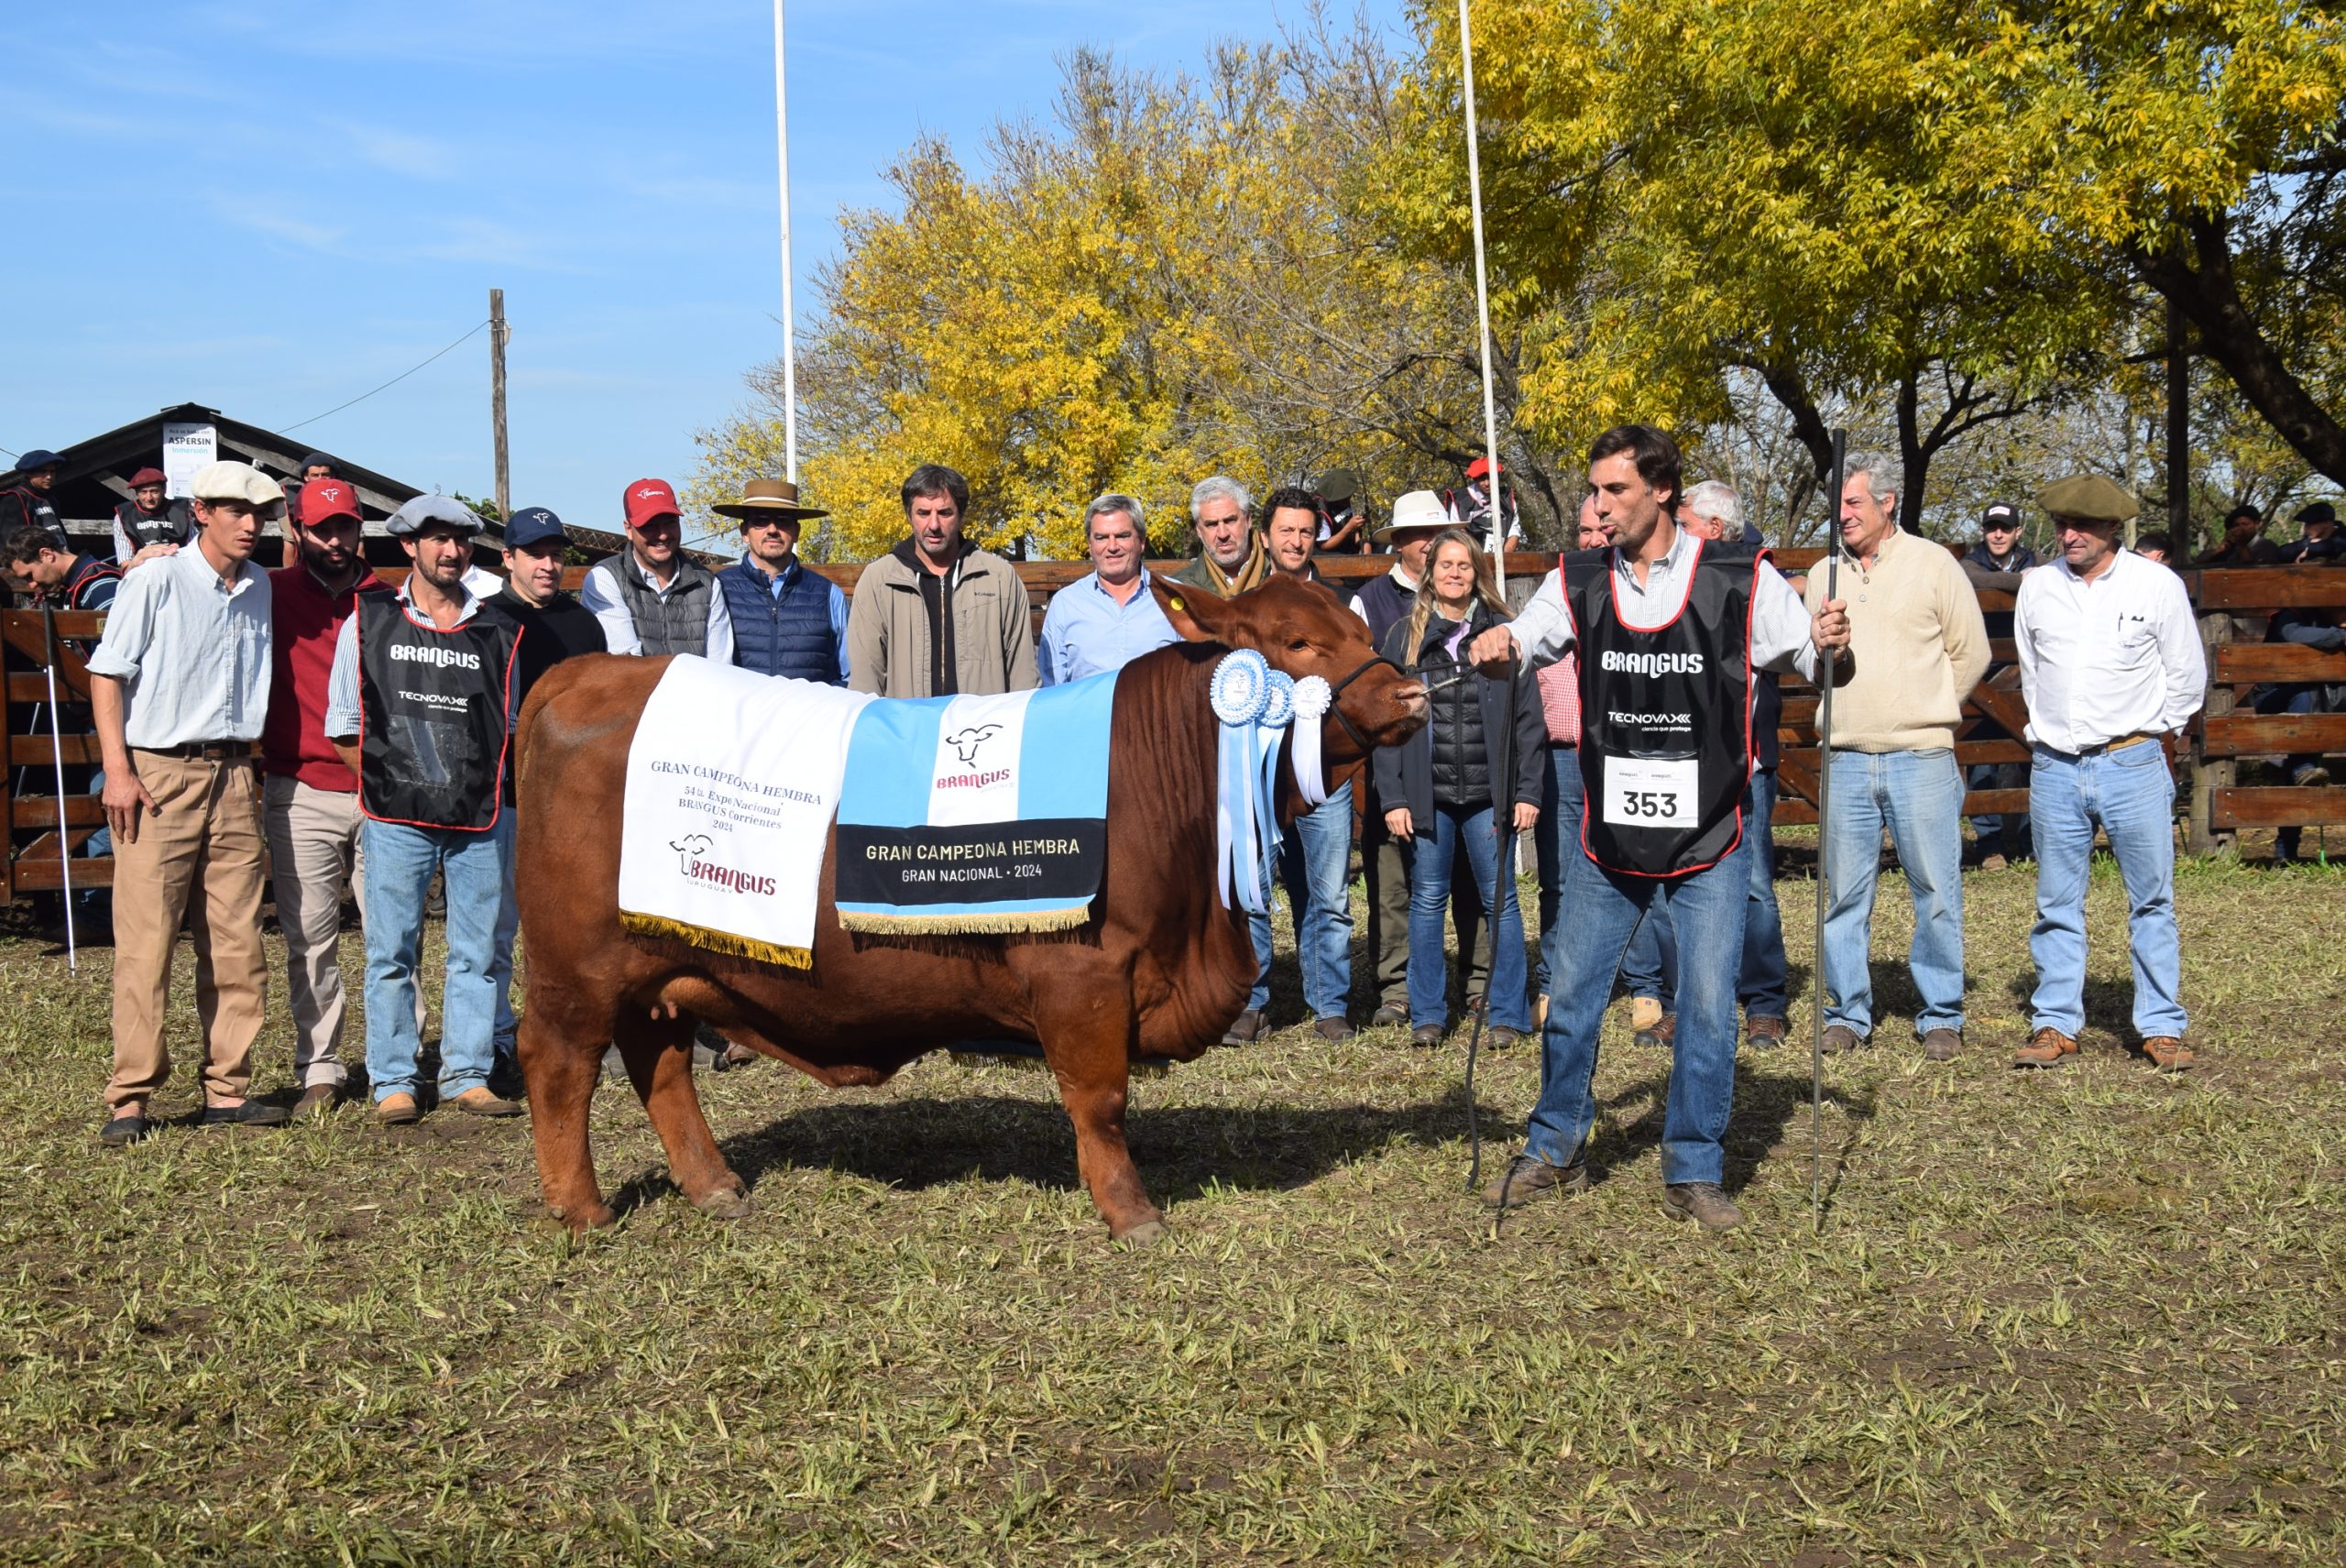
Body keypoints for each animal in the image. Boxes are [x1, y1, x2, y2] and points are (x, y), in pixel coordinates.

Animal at [516, 570, 1426, 1239]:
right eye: (1299, 640)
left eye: (1357, 626)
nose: (1412, 694)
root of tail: (583, 673)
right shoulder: (1083, 977)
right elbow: (1101, 1101)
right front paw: (1131, 1212)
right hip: (575, 967)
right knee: (559, 1064)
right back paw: (583, 1209)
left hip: (662, 960)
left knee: (660, 1062)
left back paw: (714, 1186)